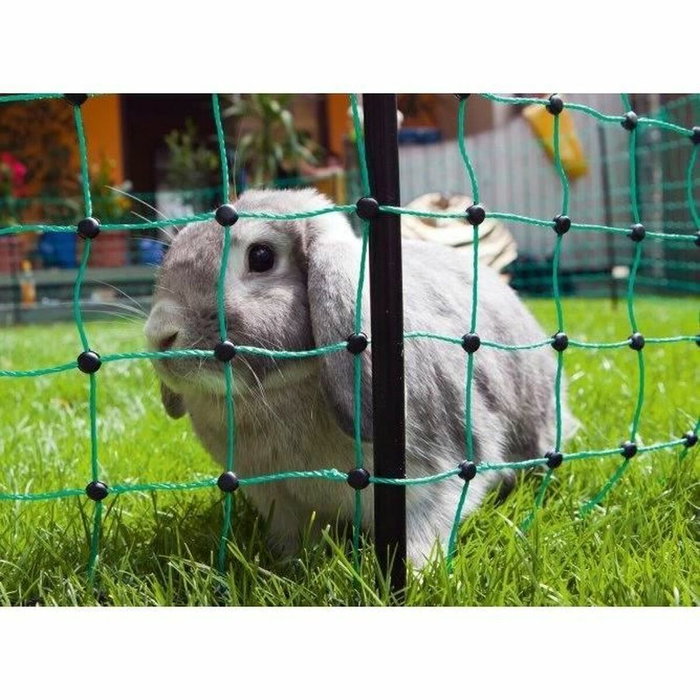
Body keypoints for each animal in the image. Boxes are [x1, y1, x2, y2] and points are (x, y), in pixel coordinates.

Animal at [144, 188, 577, 567]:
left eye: (262, 256)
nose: (160, 335)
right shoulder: (280, 501)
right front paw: (289, 567)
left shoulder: (434, 482)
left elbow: (424, 533)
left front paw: (415, 576)